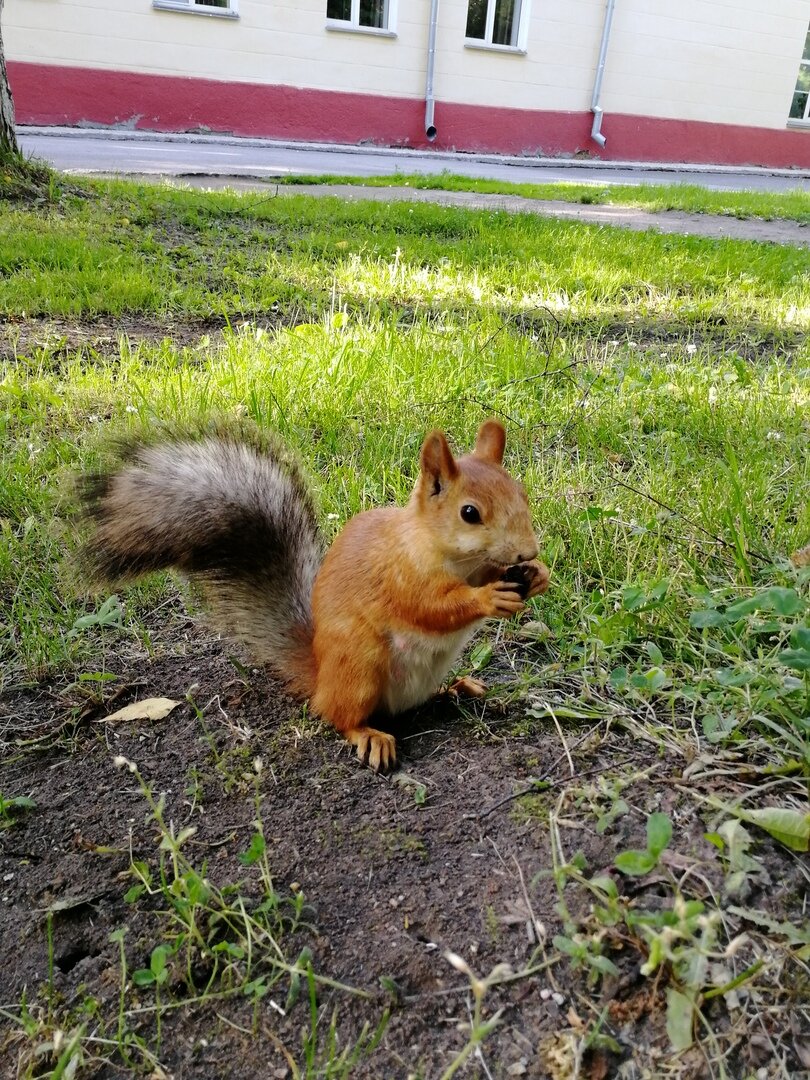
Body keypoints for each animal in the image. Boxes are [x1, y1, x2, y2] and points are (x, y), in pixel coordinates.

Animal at [81, 419, 552, 768]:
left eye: (522, 493)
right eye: (469, 513)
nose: (528, 550)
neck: (453, 559)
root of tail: (321, 674)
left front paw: (538, 575)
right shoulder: (398, 578)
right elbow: (432, 607)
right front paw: (489, 599)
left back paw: (456, 688)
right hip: (358, 667)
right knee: (338, 715)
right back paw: (370, 735)